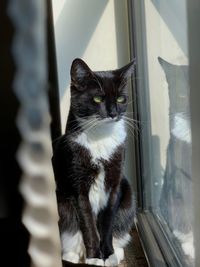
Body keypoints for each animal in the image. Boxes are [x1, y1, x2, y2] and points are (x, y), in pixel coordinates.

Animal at [51, 59, 136, 267]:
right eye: (97, 99)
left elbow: (107, 223)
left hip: (129, 198)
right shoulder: (78, 187)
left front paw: (109, 255)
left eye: (121, 99)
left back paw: (118, 252)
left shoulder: (114, 182)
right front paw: (95, 258)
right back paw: (73, 255)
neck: (100, 137)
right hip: (61, 202)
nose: (113, 113)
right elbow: (88, 225)